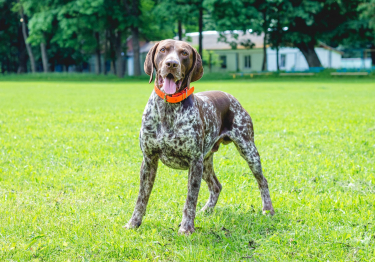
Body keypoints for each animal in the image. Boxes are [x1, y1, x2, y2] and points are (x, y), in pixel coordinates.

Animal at [125, 39, 274, 235]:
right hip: (206, 162)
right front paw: (134, 223)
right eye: (163, 50)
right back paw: (207, 210)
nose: (171, 64)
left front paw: (186, 227)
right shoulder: (149, 160)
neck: (168, 109)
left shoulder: (194, 162)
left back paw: (268, 209)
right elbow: (141, 198)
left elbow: (190, 199)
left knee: (262, 181)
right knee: (216, 186)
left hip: (248, 150)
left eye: (184, 53)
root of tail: (230, 96)